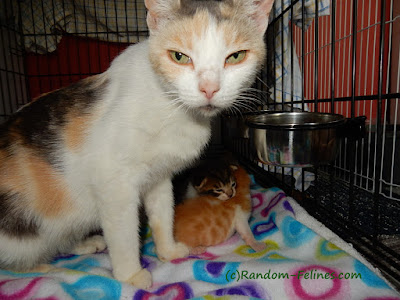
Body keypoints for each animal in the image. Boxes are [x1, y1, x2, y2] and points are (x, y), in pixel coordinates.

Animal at [0, 0, 274, 290]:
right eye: (179, 57)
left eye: (236, 57)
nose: (209, 89)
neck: (172, 109)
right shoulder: (115, 185)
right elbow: (124, 234)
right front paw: (130, 275)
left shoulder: (161, 176)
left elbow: (163, 214)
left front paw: (168, 251)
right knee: (17, 262)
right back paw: (47, 269)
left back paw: (84, 244)